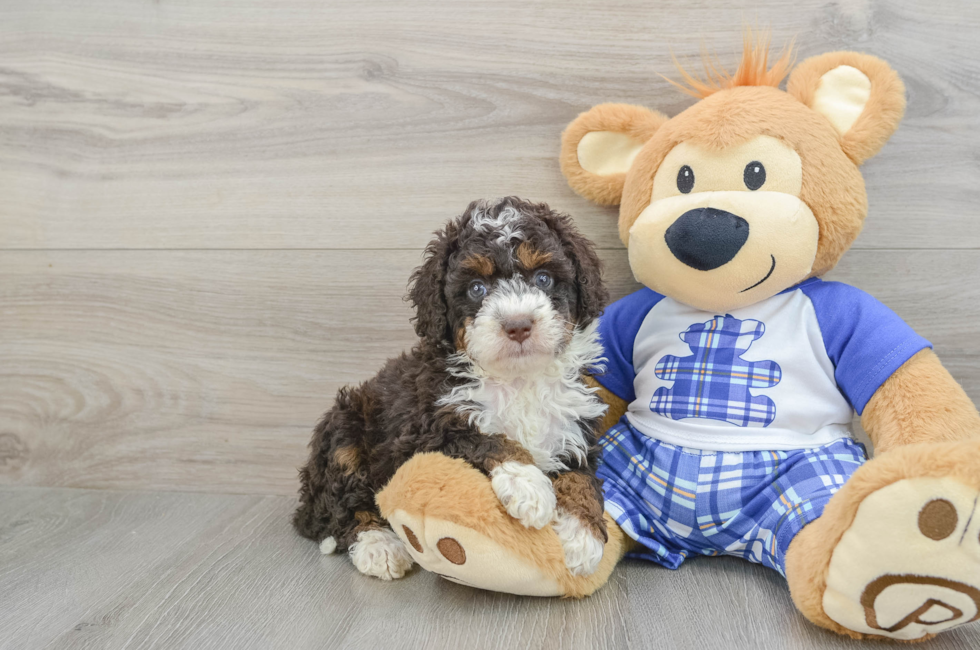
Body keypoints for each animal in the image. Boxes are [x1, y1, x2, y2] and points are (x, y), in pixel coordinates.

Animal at [294, 196, 608, 576]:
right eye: (476, 288)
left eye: (544, 278)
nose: (518, 325)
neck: (518, 379)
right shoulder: (423, 433)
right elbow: (486, 440)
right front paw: (528, 485)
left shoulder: (574, 432)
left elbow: (583, 478)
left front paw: (582, 537)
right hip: (344, 430)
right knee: (342, 506)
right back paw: (378, 545)